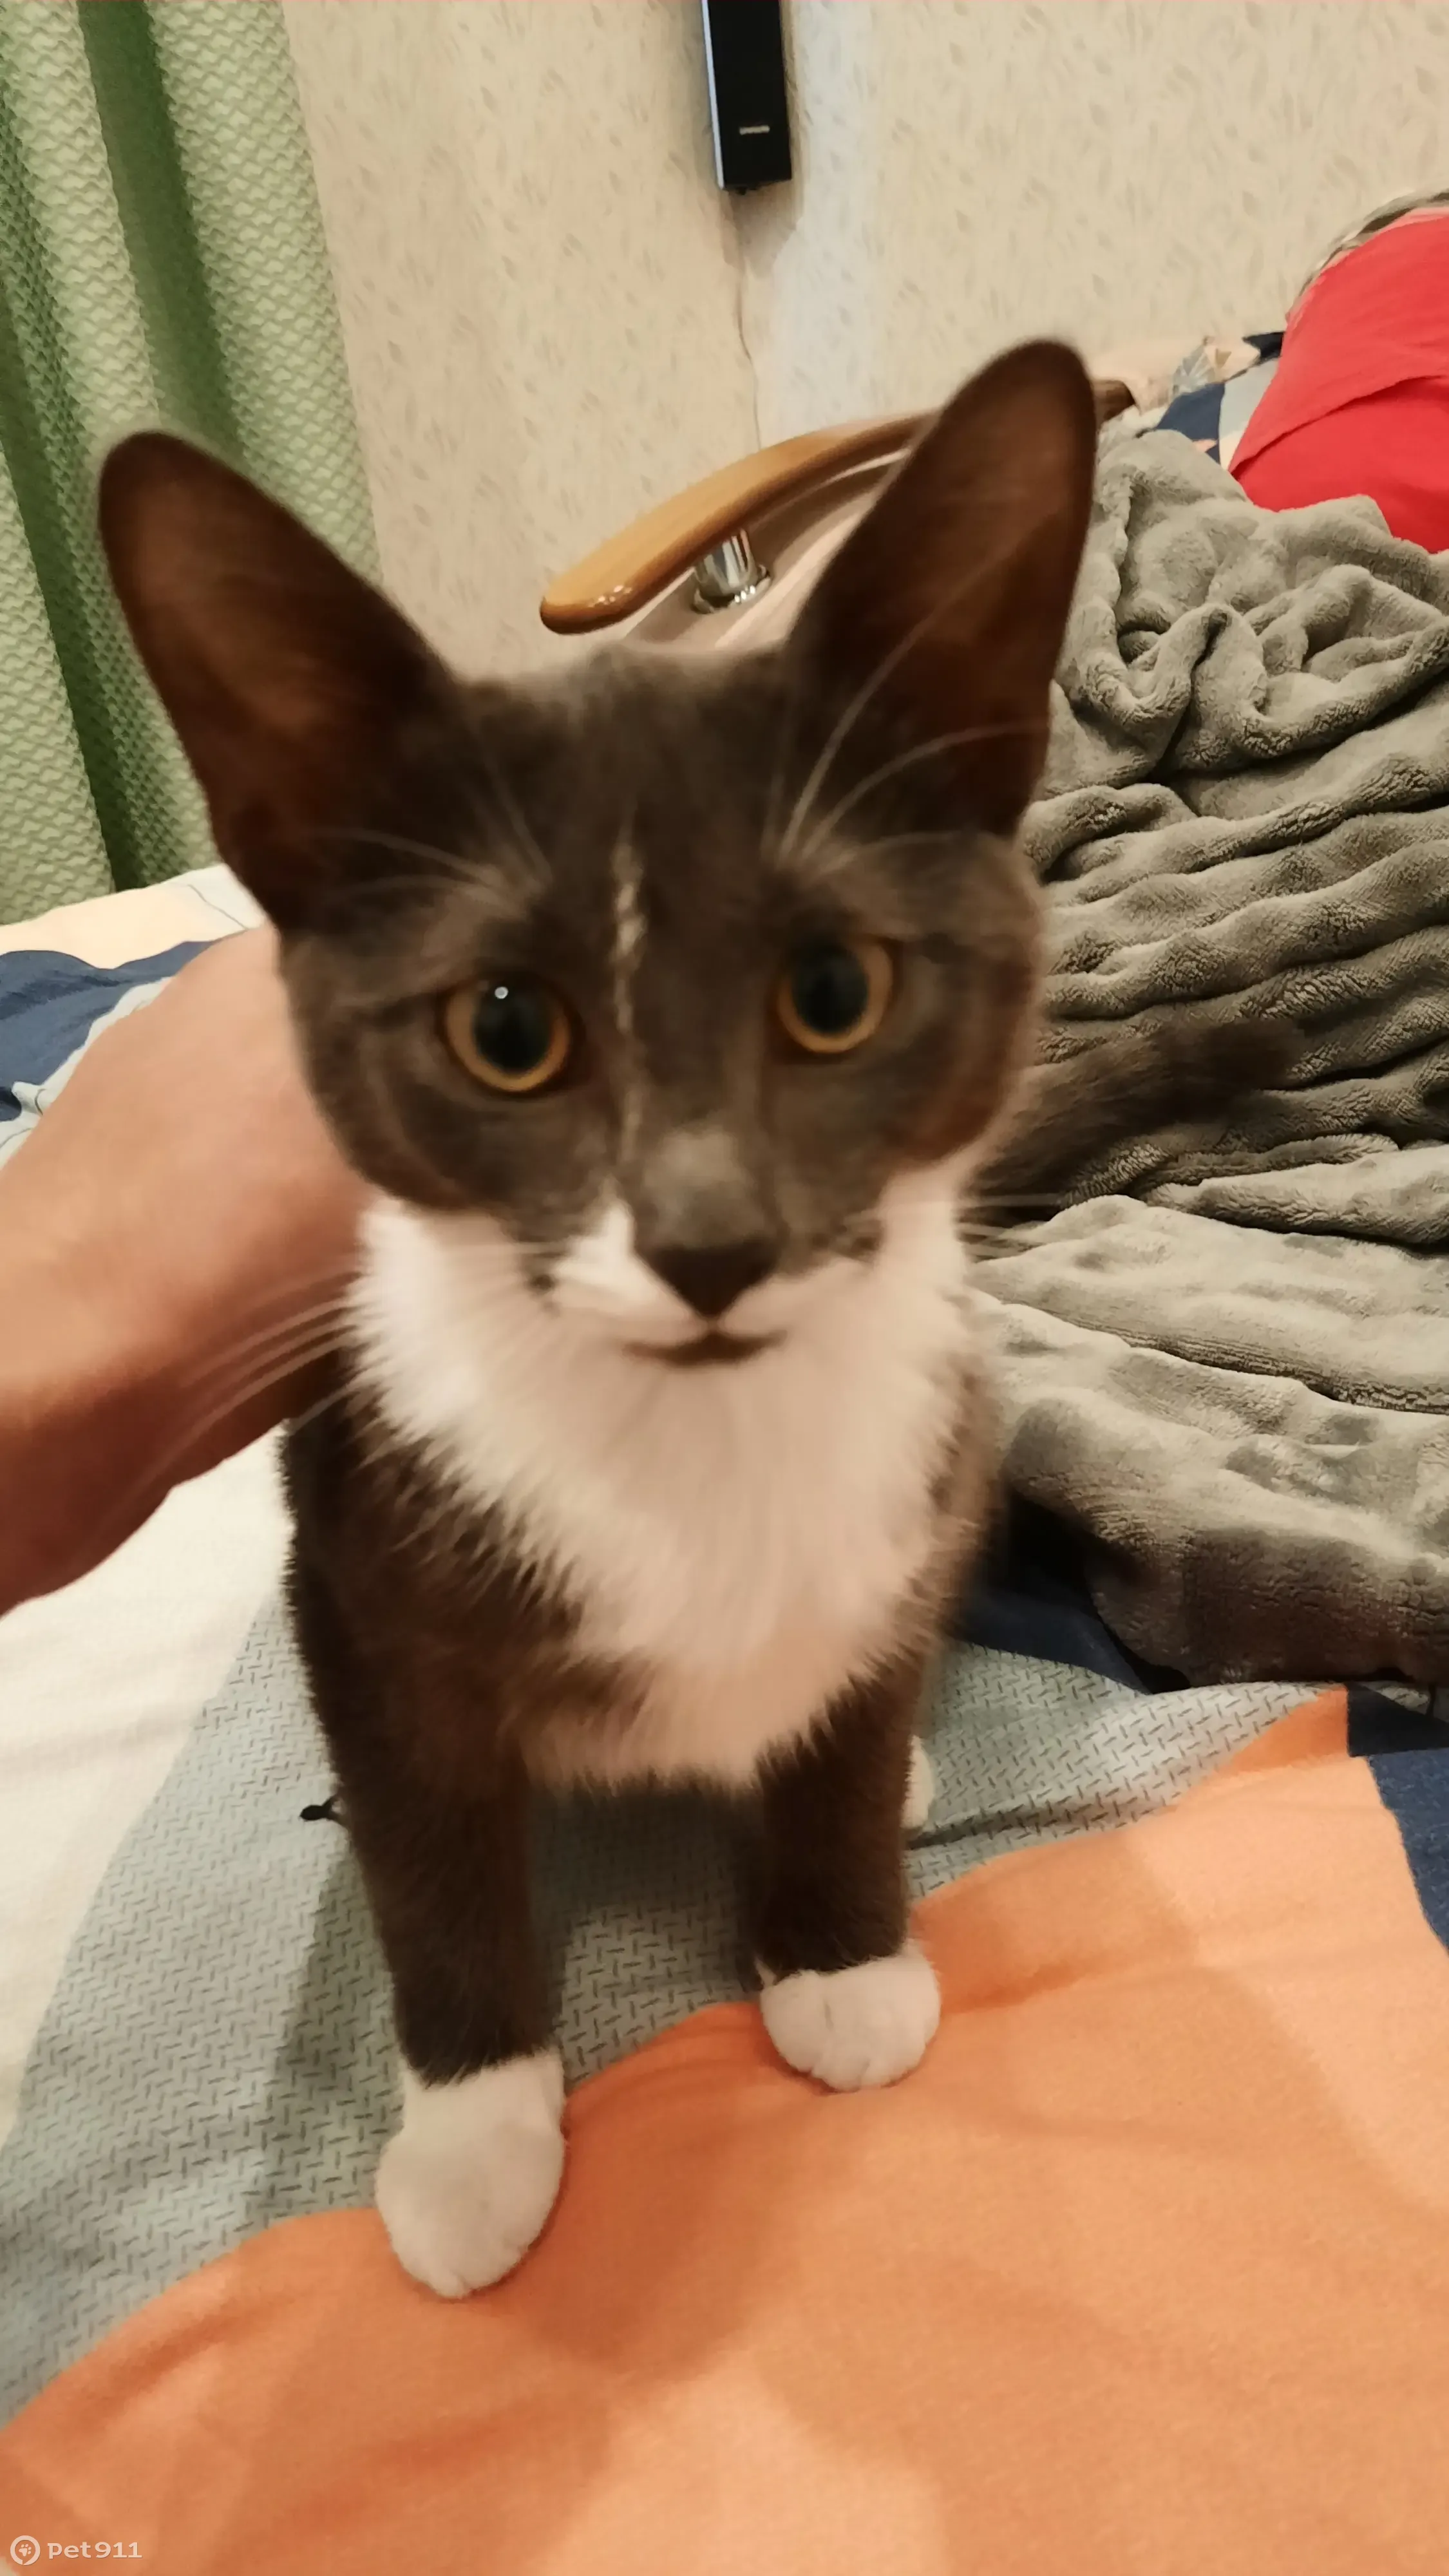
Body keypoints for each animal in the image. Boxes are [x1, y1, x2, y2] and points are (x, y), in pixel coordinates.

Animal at [98, 341, 1128, 2297]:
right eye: (507, 1027)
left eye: (832, 990)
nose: (711, 1243)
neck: (692, 1434)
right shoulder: (358, 1562)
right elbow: (433, 1856)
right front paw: (476, 2137)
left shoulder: (918, 1475)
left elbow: (842, 1707)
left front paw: (841, 1951)